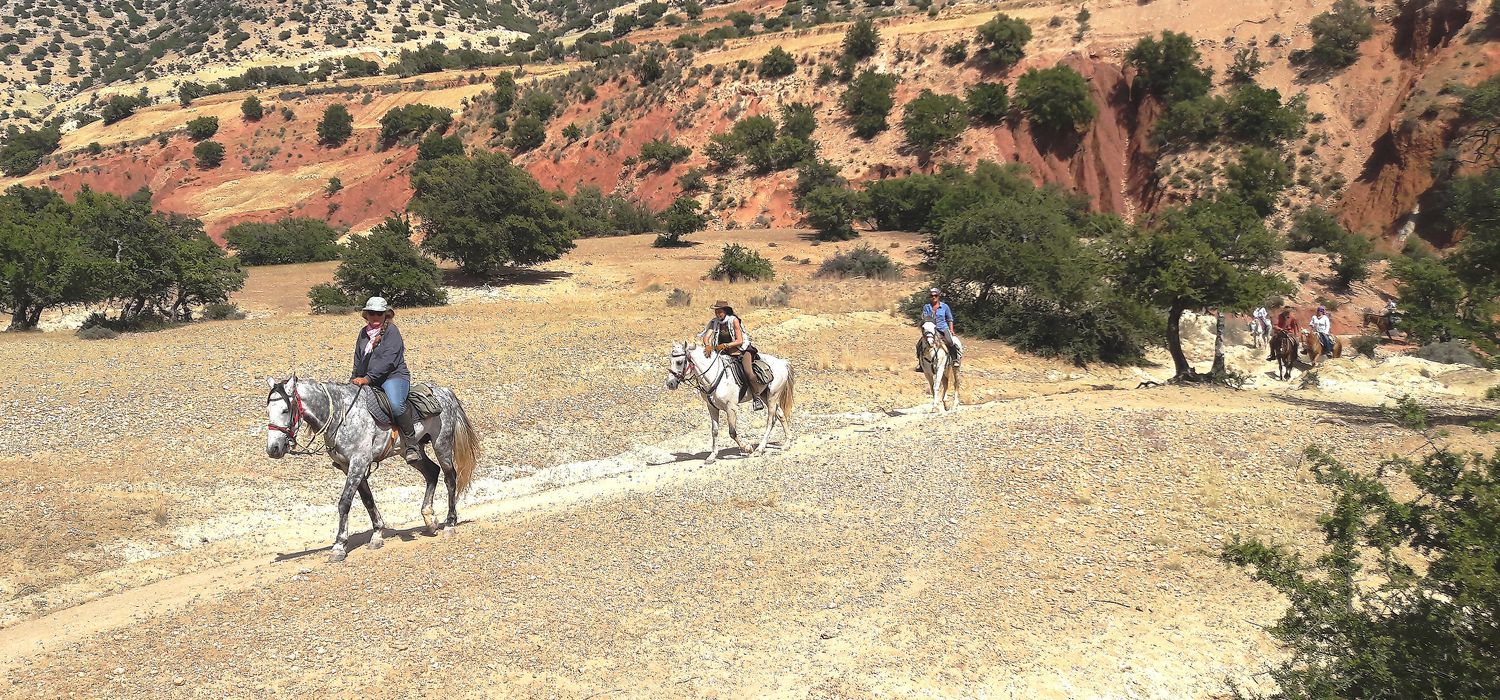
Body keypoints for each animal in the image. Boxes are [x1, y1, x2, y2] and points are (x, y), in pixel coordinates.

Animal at [264, 377, 480, 563]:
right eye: (268, 411)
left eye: (285, 410)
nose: (273, 449)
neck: (342, 415)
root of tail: (444, 392)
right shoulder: (349, 466)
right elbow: (367, 499)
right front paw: (377, 535)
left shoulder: (358, 463)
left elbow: (345, 503)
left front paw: (339, 546)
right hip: (412, 451)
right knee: (432, 472)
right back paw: (430, 520)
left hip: (441, 444)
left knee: (450, 478)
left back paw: (450, 523)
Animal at [663, 341, 792, 461]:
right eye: (670, 361)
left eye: (679, 362)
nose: (670, 383)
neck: (713, 376)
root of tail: (782, 363)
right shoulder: (712, 407)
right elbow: (714, 431)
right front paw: (712, 456)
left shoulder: (731, 408)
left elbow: (732, 432)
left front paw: (747, 448)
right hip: (765, 396)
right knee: (780, 414)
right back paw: (787, 444)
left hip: (772, 396)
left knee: (770, 421)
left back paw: (759, 449)